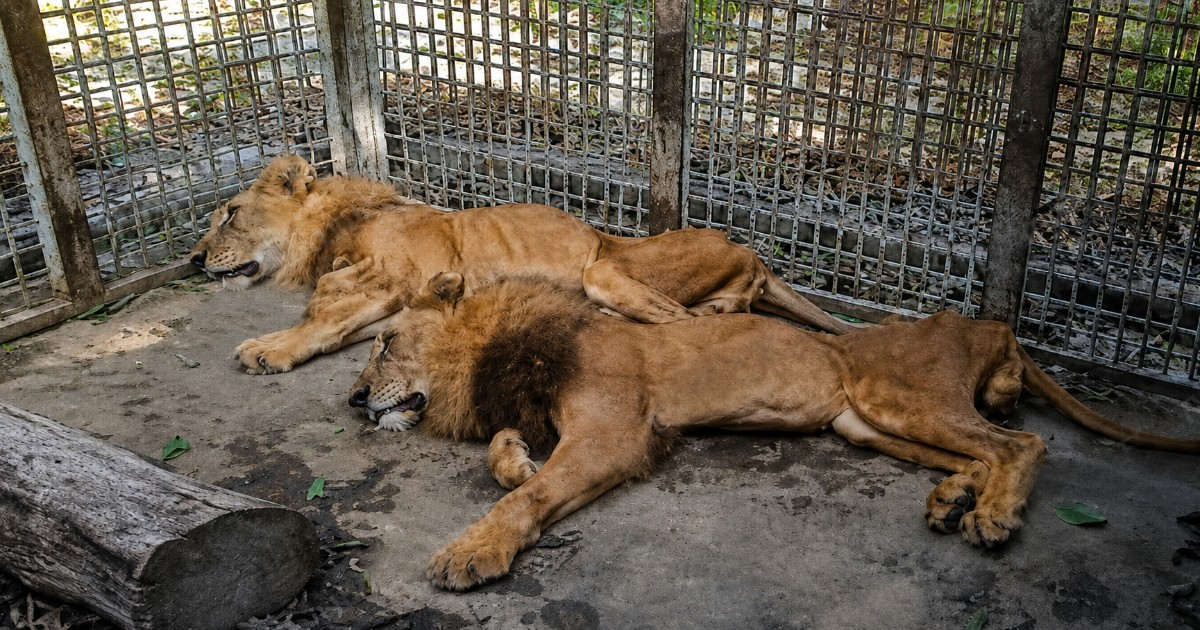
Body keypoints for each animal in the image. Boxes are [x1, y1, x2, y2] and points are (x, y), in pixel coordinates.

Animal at [188, 154, 855, 374]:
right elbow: (336, 323)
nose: (193, 259)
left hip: (602, 269)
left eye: (229, 214)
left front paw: (267, 348)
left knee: (687, 326)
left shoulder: (394, 277)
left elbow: (320, 313)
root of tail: (755, 253)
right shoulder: (395, 298)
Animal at [347, 272, 1200, 591]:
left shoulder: (616, 435)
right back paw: (954, 496)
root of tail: (991, 326)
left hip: (895, 397)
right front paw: (516, 462)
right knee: (972, 452)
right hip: (867, 425)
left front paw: (472, 550)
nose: (353, 402)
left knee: (1020, 442)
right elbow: (507, 463)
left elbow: (520, 503)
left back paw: (990, 514)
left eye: (383, 343)